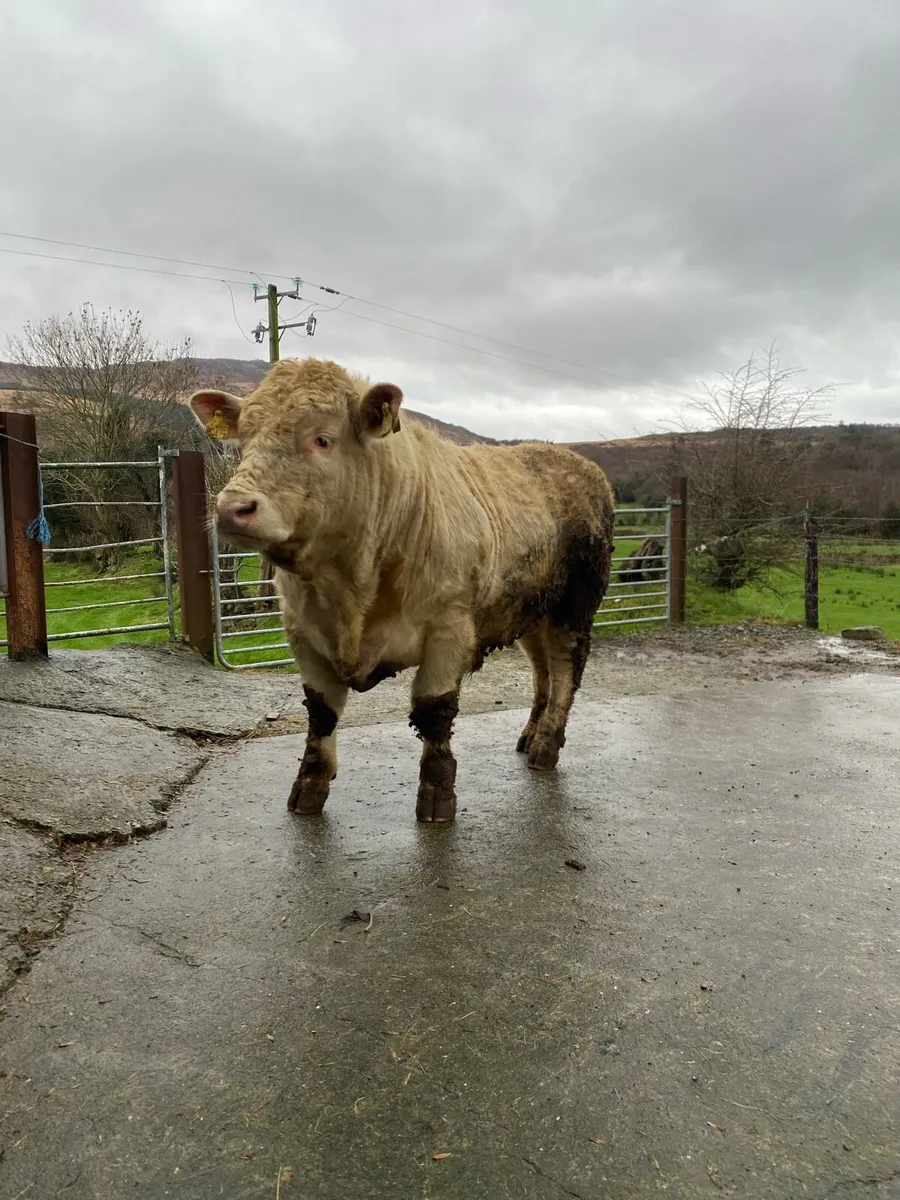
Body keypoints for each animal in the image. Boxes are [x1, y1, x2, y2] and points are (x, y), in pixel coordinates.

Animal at [190, 358, 615, 823]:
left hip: (574, 608)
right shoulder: (302, 631)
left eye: (322, 439)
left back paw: (546, 746)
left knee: (565, 671)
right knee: (543, 672)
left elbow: (434, 710)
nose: (232, 508)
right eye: (243, 441)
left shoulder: (450, 628)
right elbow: (321, 713)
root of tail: (577, 461)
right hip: (531, 612)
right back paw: (529, 735)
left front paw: (437, 796)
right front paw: (308, 788)